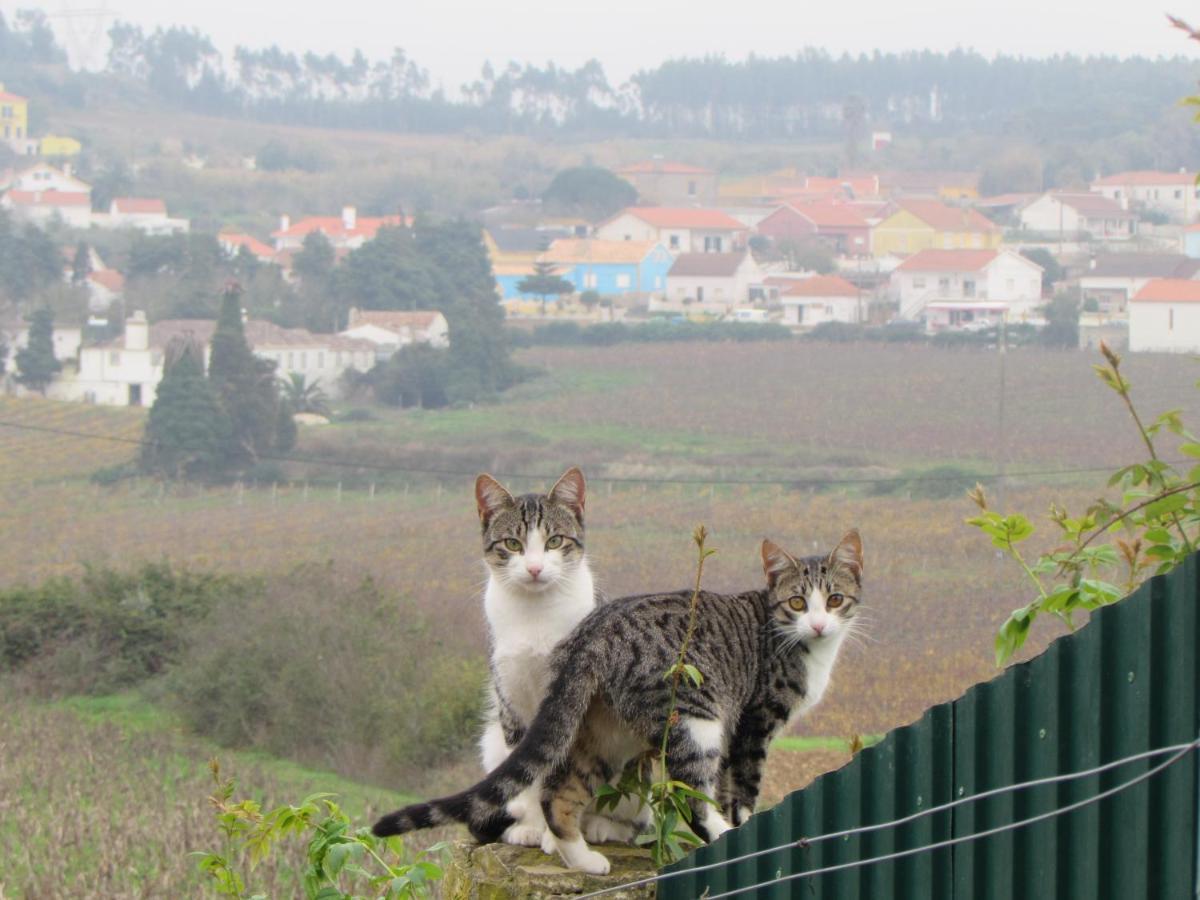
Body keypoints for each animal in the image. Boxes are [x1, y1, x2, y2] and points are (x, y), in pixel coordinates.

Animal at [374, 532, 864, 878]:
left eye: (834, 599)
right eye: (797, 601)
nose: (818, 625)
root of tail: (594, 634)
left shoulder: (736, 728)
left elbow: (728, 789)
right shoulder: (754, 721)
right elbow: (741, 790)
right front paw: (743, 829)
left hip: (607, 736)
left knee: (557, 797)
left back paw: (584, 860)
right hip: (693, 716)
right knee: (691, 798)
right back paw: (718, 839)